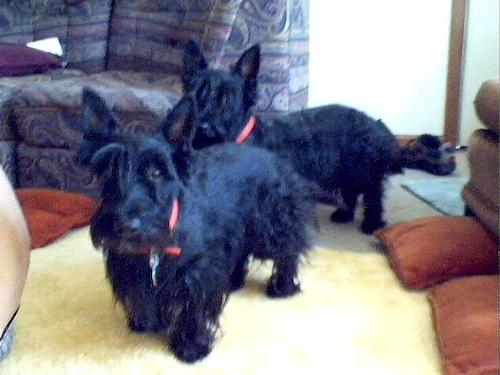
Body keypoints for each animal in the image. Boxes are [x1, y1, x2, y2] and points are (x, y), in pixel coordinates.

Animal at [78, 88, 314, 364]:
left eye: (156, 173)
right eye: (108, 171)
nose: (126, 225)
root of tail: (270, 155)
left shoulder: (196, 273)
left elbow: (194, 310)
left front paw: (190, 348)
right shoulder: (130, 266)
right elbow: (142, 294)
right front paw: (147, 322)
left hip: (272, 227)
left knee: (289, 250)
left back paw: (282, 287)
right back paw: (233, 281)